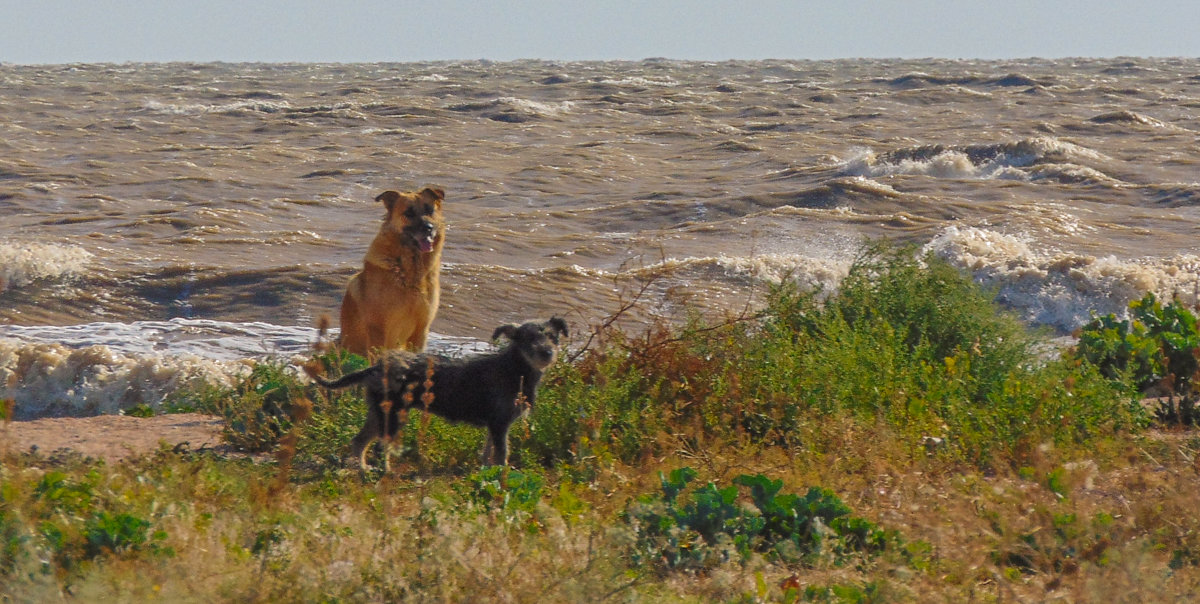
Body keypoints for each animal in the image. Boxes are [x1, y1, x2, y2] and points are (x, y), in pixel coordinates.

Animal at [309, 317, 571, 473]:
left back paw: (363, 469)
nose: (547, 353)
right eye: (528, 339)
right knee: (381, 447)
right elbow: (501, 453)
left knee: (359, 441)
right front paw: (501, 475)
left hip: (379, 413)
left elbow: (488, 452)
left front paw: (486, 470)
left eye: (552, 337)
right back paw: (385, 472)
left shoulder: (495, 425)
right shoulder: (500, 424)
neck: (516, 369)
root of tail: (376, 367)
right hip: (393, 416)